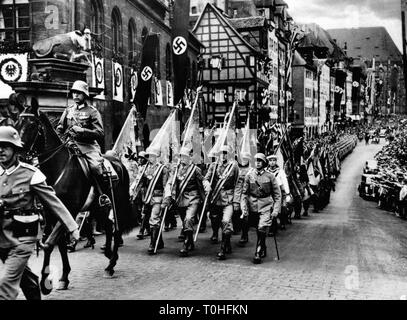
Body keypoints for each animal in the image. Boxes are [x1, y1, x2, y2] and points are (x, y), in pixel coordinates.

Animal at [15, 99, 137, 296]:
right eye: (17, 123)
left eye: (32, 124)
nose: (17, 155)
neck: (58, 168)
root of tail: (118, 162)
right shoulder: (52, 213)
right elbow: (59, 244)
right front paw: (63, 278)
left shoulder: (69, 211)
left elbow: (49, 243)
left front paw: (45, 282)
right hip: (97, 207)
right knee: (108, 226)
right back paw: (108, 254)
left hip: (116, 204)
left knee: (116, 228)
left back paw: (111, 265)